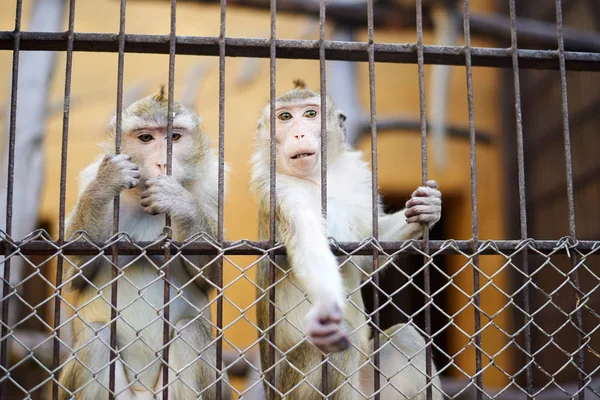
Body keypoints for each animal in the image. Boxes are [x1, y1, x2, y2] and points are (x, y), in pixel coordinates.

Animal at [58, 87, 232, 400]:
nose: (163, 162)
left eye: (174, 137)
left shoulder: (214, 188)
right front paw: (104, 185)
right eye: (146, 138)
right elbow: (74, 275)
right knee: (97, 337)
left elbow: (209, 277)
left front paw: (180, 202)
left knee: (189, 331)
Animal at [251, 79, 442, 398]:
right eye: (285, 117)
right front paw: (327, 305)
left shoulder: (357, 179)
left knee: (406, 338)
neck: (318, 179)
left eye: (311, 114)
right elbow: (309, 246)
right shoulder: (281, 191)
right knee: (340, 345)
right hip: (292, 387)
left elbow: (368, 251)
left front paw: (428, 209)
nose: (299, 133)